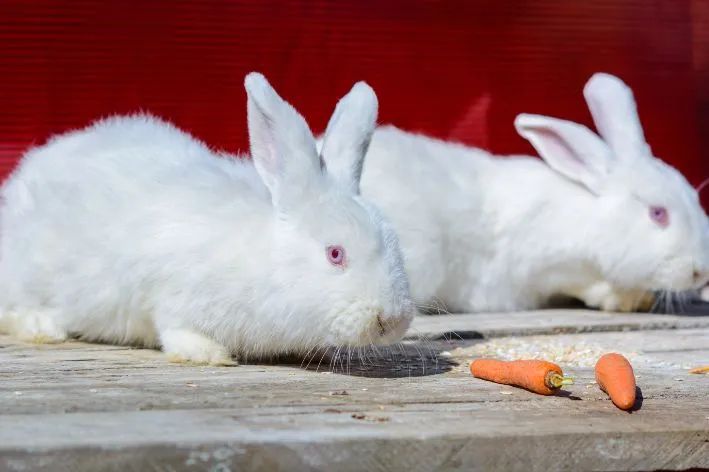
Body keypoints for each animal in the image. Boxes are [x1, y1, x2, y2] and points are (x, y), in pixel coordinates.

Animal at [0, 72, 415, 365]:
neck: (265, 260)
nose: (392, 320)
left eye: (396, 246)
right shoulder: (171, 293)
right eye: (335, 254)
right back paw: (43, 328)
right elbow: (174, 329)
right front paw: (209, 354)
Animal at [358, 73, 709, 313]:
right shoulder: (547, 267)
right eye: (658, 213)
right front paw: (624, 300)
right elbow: (586, 286)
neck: (590, 216)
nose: (700, 272)